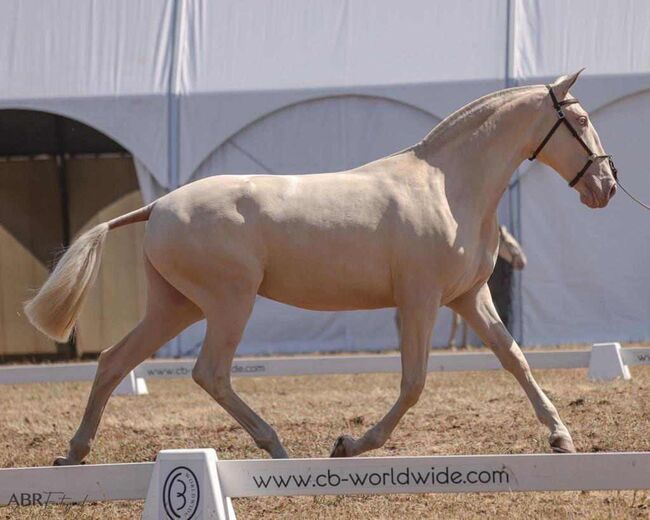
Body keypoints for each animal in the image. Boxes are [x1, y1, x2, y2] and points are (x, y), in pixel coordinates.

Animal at [24, 70, 612, 464]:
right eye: (581, 120)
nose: (605, 186)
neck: (448, 187)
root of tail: (158, 206)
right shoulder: (419, 300)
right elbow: (414, 382)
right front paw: (349, 444)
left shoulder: (469, 297)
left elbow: (515, 360)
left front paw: (561, 437)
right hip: (228, 303)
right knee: (209, 372)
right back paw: (277, 447)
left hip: (178, 306)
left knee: (114, 361)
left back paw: (74, 453)